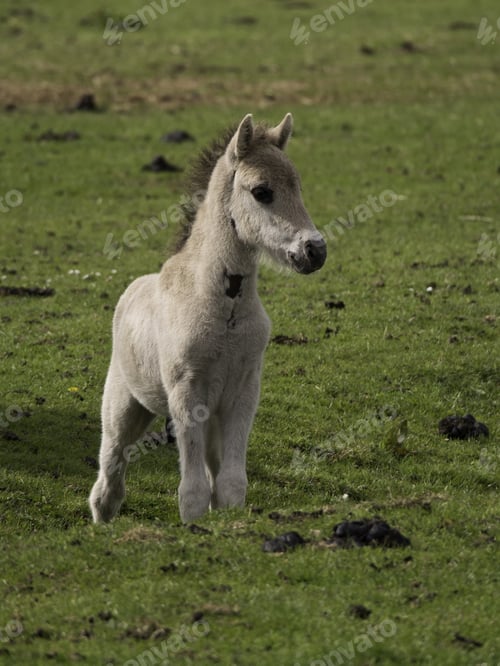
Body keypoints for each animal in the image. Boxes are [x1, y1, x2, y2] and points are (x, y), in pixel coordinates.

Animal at [89, 113, 327, 523]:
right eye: (261, 191)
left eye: (297, 186)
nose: (315, 250)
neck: (223, 307)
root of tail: (130, 291)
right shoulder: (187, 392)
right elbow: (194, 490)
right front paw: (194, 521)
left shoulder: (243, 391)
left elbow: (230, 483)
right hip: (123, 406)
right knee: (111, 466)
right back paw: (102, 515)